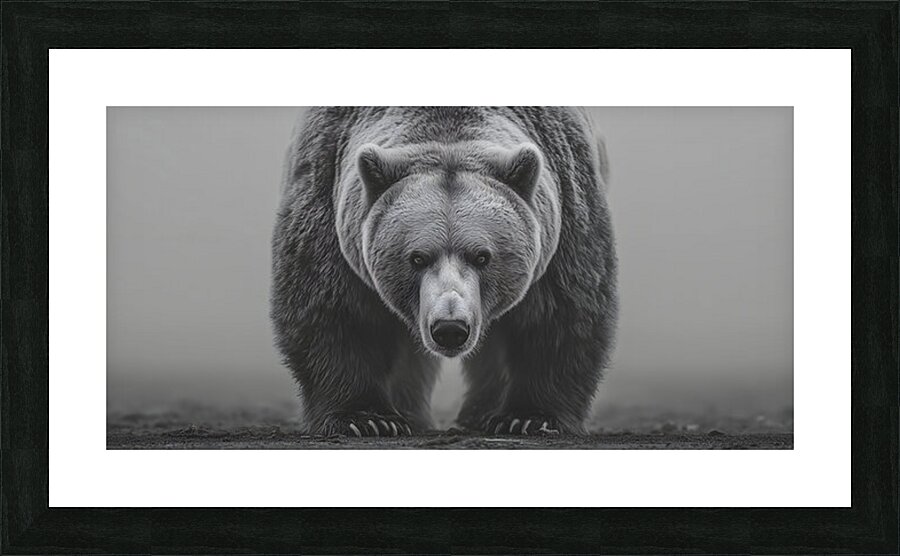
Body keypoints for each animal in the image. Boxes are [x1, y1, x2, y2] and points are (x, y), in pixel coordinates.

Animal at [271, 107, 617, 437]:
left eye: (482, 256)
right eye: (417, 258)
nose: (450, 327)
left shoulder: (566, 213)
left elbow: (557, 315)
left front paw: (529, 418)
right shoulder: (328, 200)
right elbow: (340, 312)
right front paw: (366, 419)